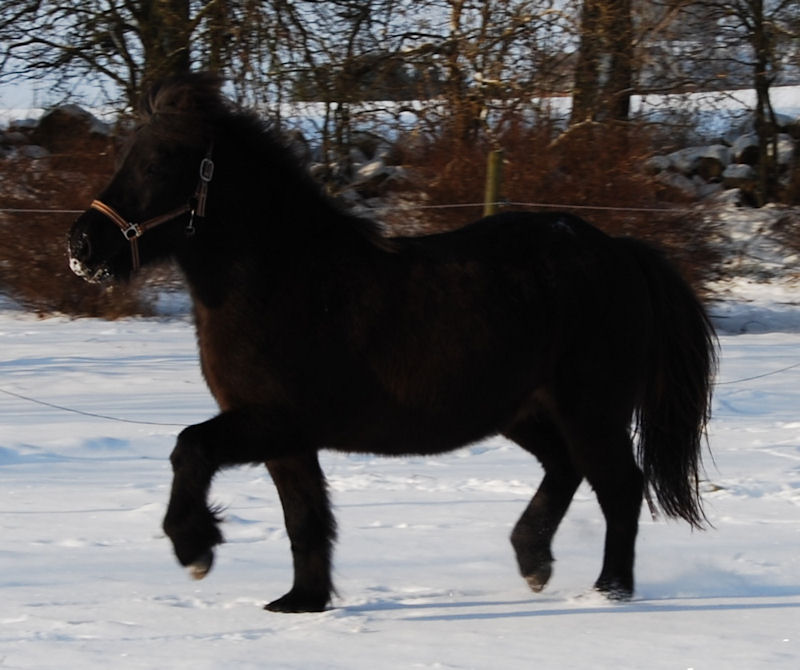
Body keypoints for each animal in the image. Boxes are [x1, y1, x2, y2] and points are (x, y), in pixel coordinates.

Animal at [70, 73, 720, 616]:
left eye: (160, 162)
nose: (82, 245)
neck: (283, 279)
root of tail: (618, 250)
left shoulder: (271, 420)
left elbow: (191, 448)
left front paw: (197, 549)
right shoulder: (287, 437)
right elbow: (305, 519)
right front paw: (301, 603)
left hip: (591, 411)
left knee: (620, 487)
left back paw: (610, 592)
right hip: (523, 412)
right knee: (566, 469)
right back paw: (534, 561)